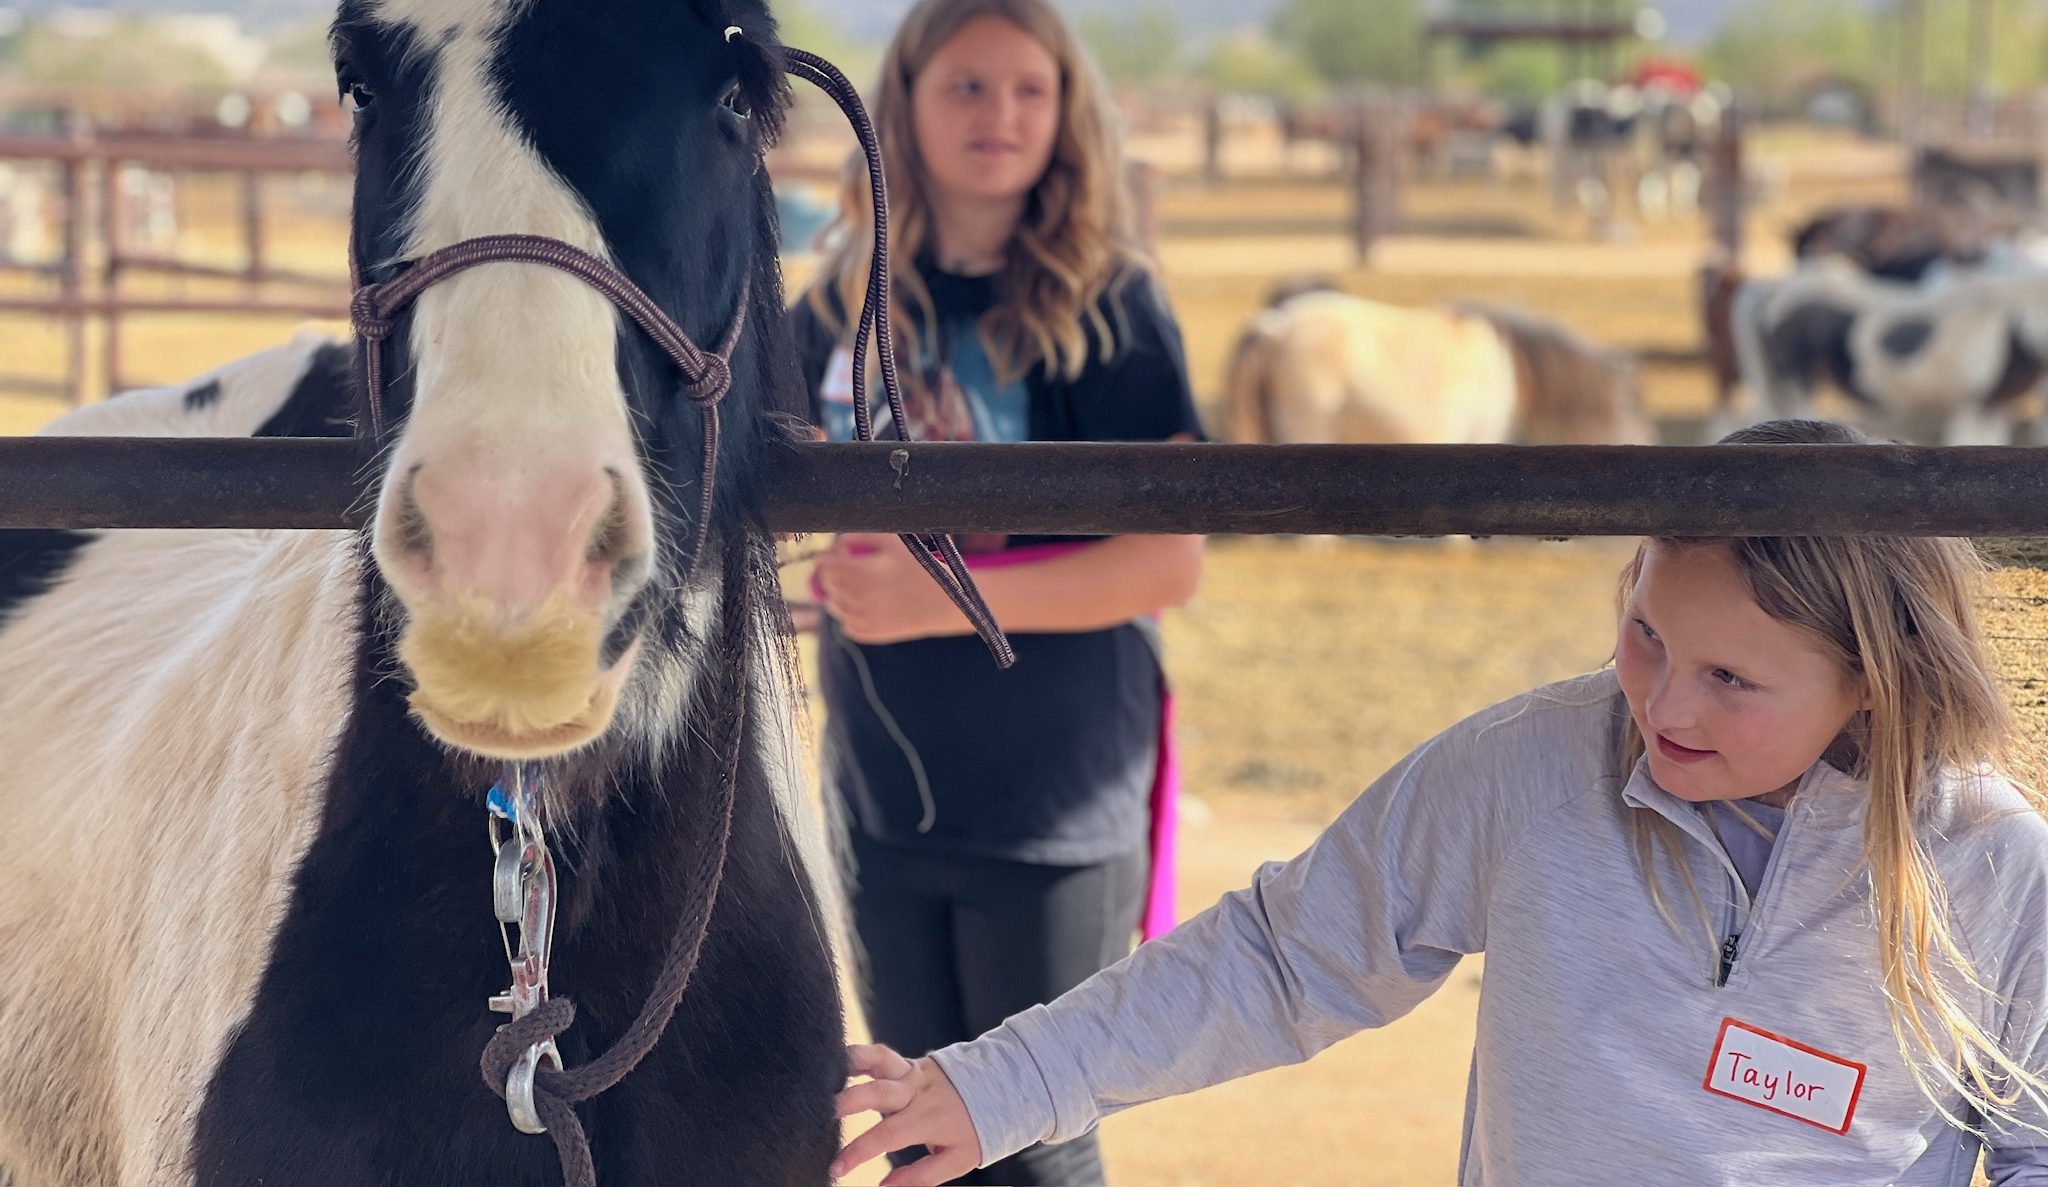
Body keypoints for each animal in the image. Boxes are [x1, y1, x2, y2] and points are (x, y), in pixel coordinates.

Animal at [1220, 288, 1654, 450]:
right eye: (1630, 408)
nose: (1645, 441)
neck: (1510, 364)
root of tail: (1273, 329)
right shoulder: (1483, 430)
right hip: (1310, 423)